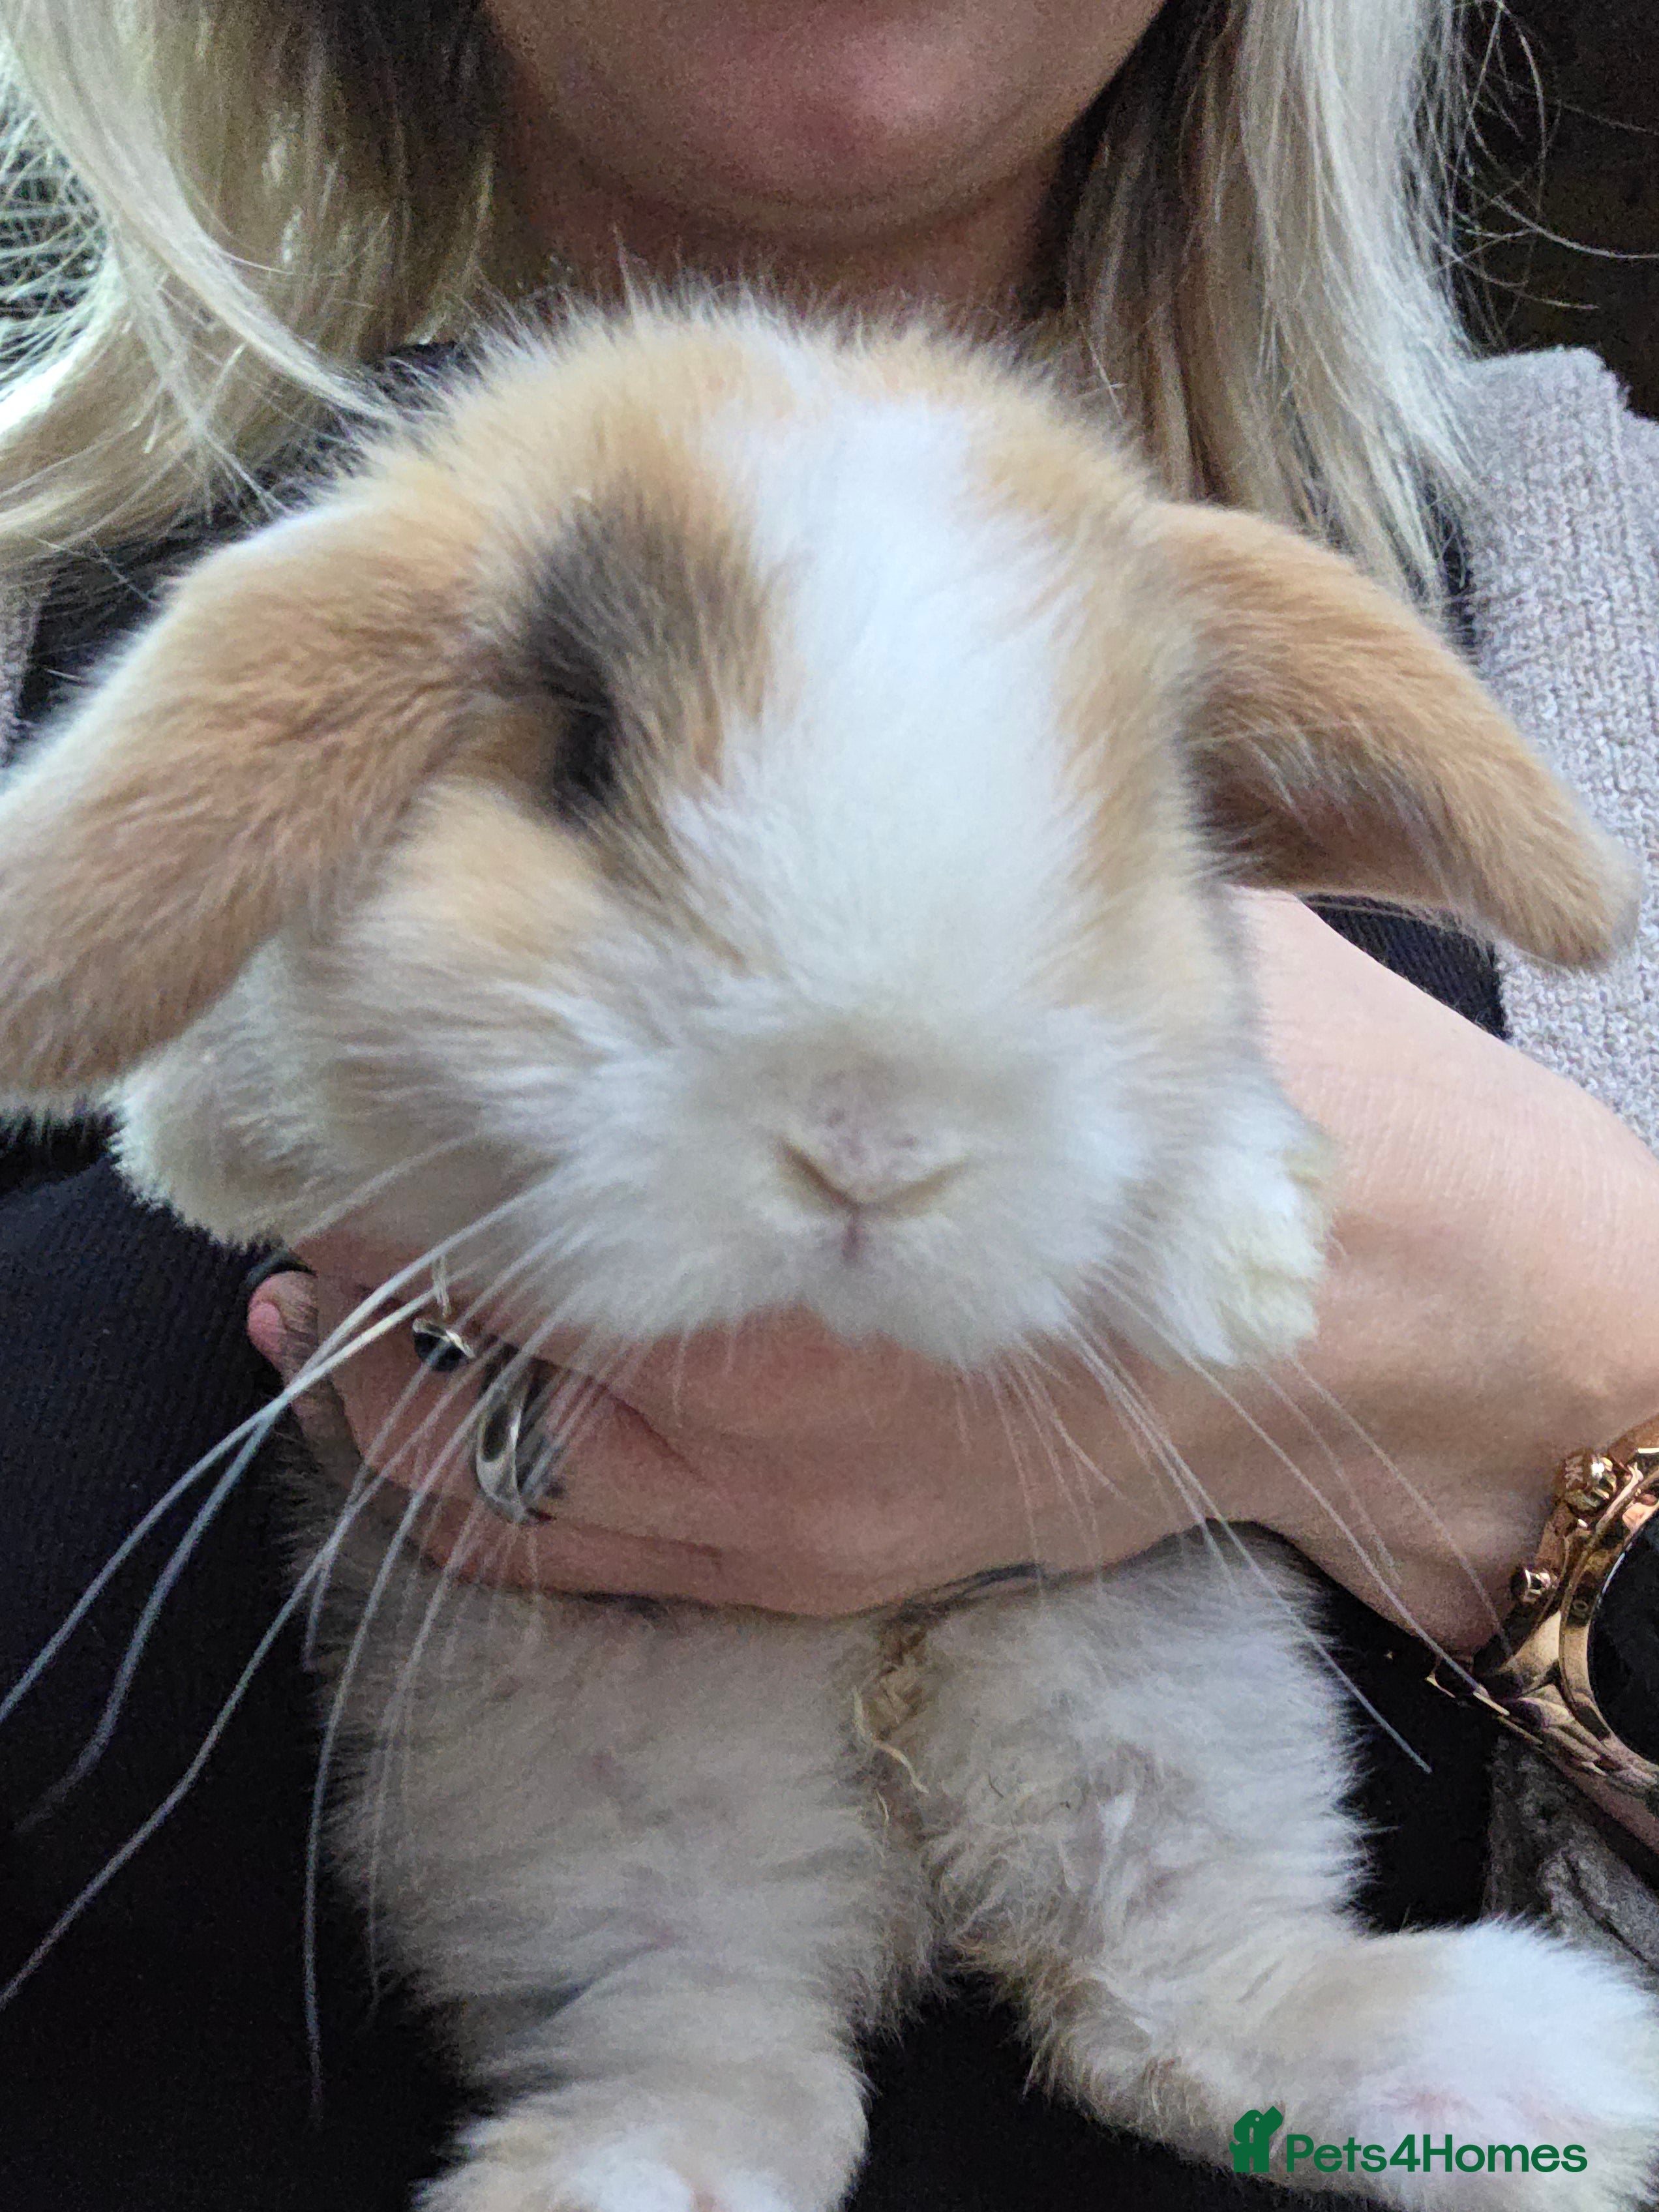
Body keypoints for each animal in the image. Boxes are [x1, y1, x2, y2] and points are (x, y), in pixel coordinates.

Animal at [0, 297, 1655, 2212]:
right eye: (580, 757)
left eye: (1136, 815)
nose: (876, 1140)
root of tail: (901, 1845)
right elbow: (240, 1097)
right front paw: (222, 1147)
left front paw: (1246, 1261)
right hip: (601, 1820)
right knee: (737, 2064)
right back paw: (586, 2184)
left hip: (1153, 1687)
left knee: (1155, 1998)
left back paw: (1572, 2084)